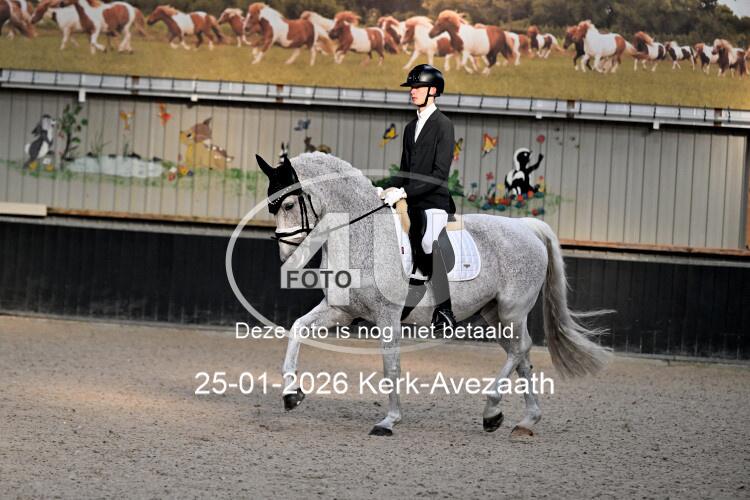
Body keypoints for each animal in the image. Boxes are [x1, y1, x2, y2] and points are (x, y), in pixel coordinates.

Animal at [253, 151, 611, 437]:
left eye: (288, 203)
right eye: (272, 207)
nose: (285, 256)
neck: (363, 235)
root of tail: (526, 226)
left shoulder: (387, 316)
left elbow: (391, 366)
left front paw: (389, 420)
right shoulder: (340, 310)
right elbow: (298, 329)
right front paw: (291, 393)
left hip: (513, 310)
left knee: (520, 349)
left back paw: (492, 407)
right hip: (495, 314)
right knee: (521, 355)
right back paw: (522, 420)